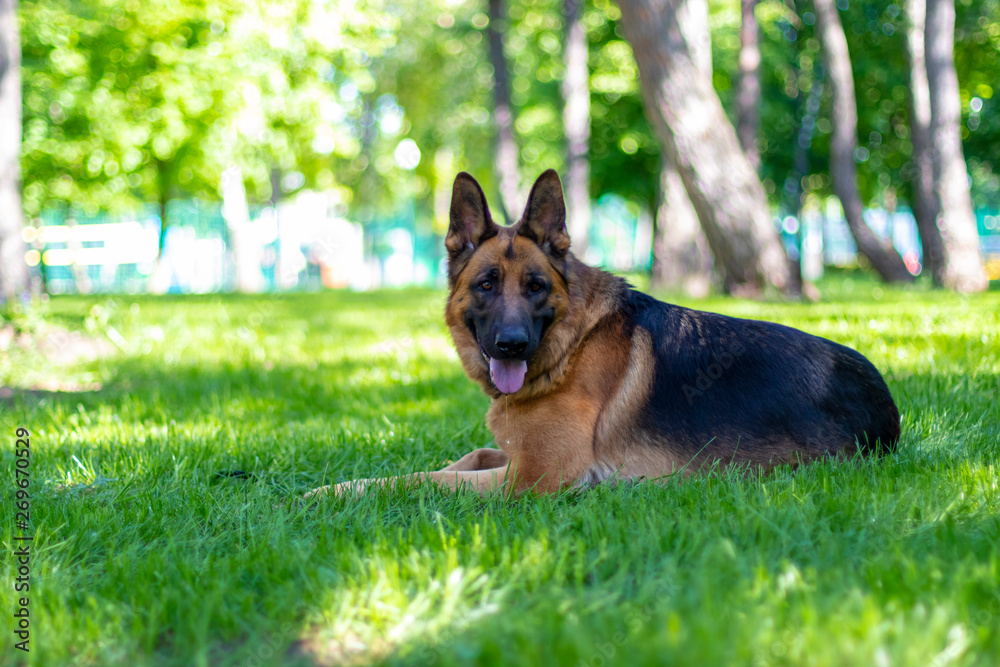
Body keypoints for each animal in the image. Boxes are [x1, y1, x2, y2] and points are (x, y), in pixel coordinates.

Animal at [306, 170, 900, 498]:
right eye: (486, 284)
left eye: (536, 286)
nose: (512, 345)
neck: (570, 348)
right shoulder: (512, 457)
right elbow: (465, 456)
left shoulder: (530, 480)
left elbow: (421, 480)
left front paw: (336, 491)